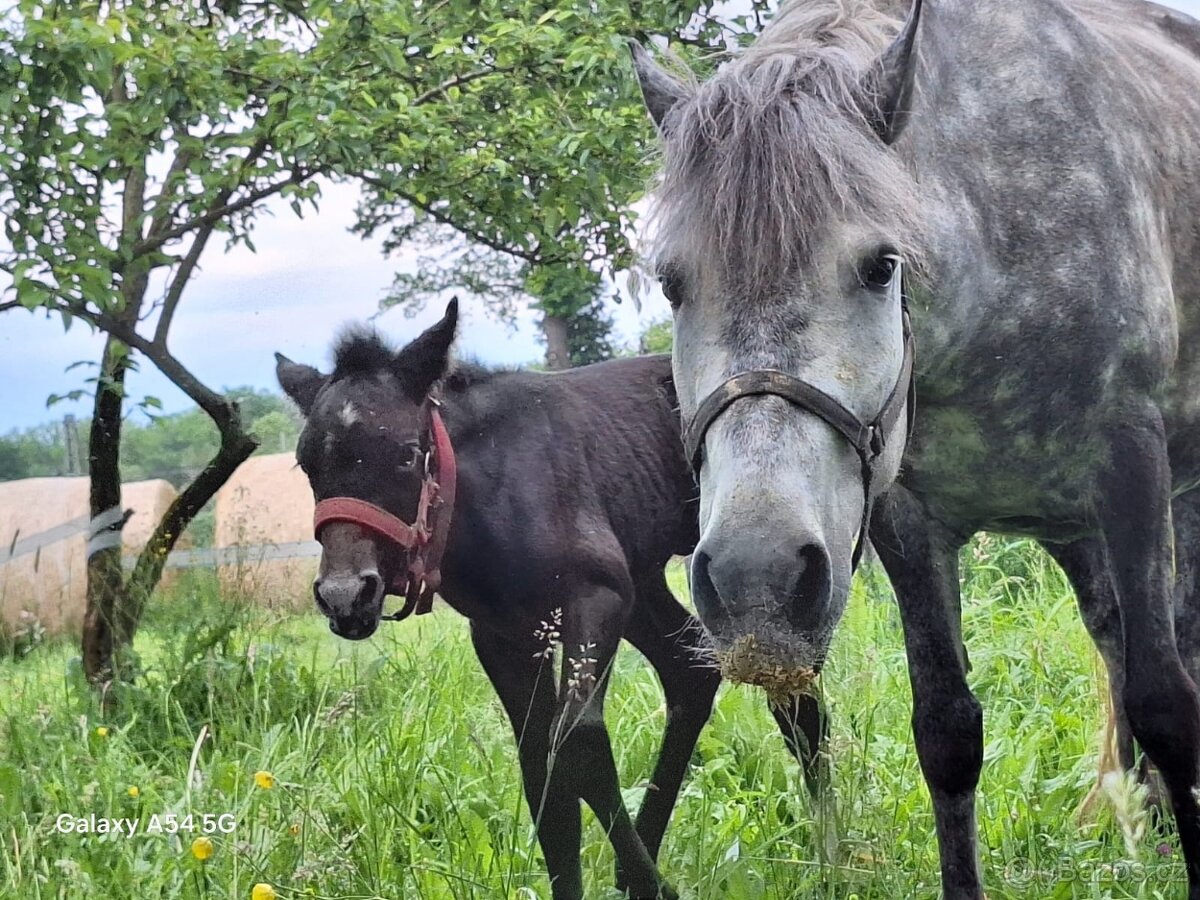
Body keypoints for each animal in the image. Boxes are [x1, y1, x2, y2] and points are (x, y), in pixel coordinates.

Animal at [274, 299, 827, 900]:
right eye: (307, 464)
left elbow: (578, 742)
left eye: (405, 453)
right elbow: (542, 773)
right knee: (693, 672)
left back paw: (832, 846)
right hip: (644, 583)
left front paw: (655, 886)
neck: (496, 489)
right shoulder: (504, 636)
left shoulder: (595, 598)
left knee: (793, 692)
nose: (346, 595)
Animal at [631, 0, 1200, 895]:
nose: (758, 578)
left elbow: (1167, 702)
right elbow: (947, 731)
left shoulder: (1133, 472)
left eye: (879, 264)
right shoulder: (907, 520)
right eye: (672, 283)